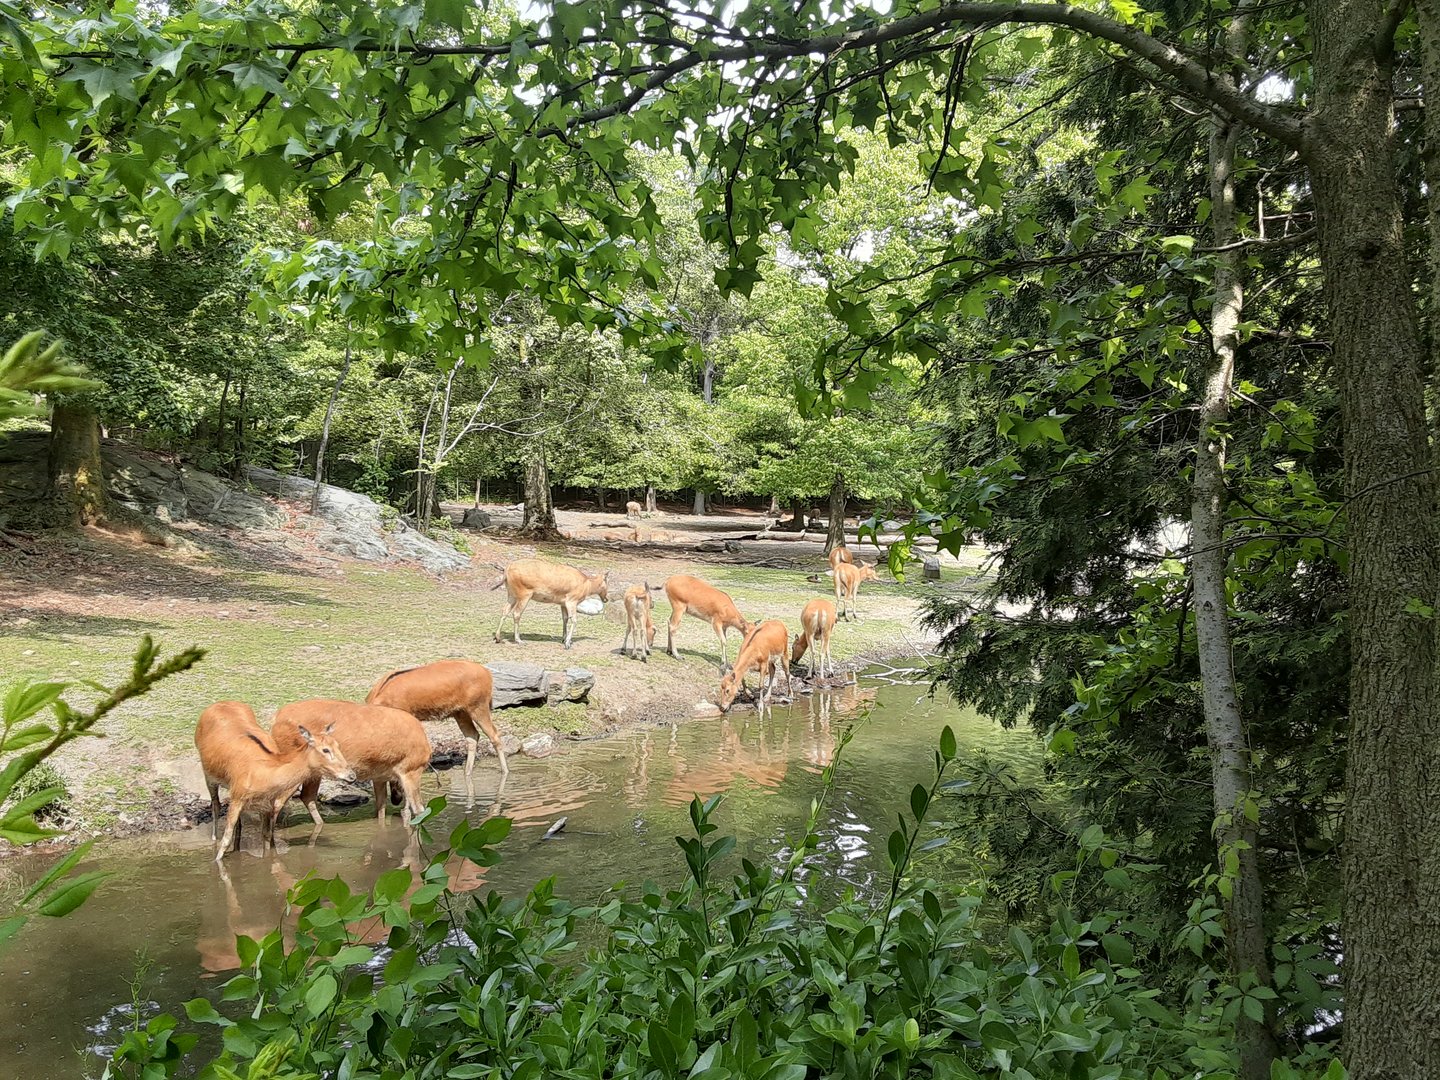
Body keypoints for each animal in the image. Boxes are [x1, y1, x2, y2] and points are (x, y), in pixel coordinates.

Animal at [194, 701, 355, 863]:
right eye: (325, 750)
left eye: (338, 745)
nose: (351, 775)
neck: (263, 776)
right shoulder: (238, 796)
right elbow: (225, 840)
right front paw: (216, 861)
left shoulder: (267, 803)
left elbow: (267, 836)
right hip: (208, 775)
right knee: (216, 805)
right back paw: (214, 838)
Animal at [269, 699, 432, 830]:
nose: (396, 800)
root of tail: (275, 719)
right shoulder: (411, 768)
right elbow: (419, 810)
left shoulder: (379, 776)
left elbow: (381, 809)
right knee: (279, 801)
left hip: (313, 772)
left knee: (305, 797)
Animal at [367, 660, 505, 808]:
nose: (395, 800)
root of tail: (487, 674)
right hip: (460, 712)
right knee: (473, 736)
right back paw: (467, 772)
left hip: (478, 706)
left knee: (494, 735)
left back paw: (504, 772)